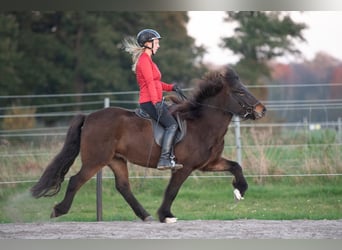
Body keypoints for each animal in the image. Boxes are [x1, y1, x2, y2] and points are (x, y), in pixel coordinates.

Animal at [31, 67, 268, 223]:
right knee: (75, 181)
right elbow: (172, 190)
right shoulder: (185, 167)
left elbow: (236, 166)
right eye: (239, 92)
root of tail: (89, 117)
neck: (201, 123)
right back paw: (59, 210)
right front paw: (166, 215)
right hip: (95, 160)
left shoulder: (209, 163)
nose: (261, 110)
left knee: (123, 187)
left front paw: (239, 190)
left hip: (116, 160)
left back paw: (144, 215)